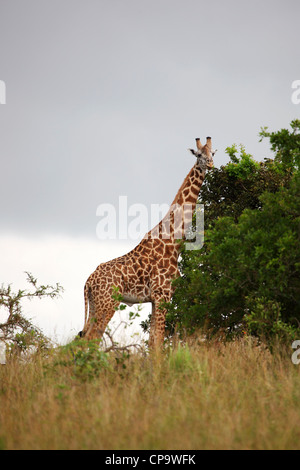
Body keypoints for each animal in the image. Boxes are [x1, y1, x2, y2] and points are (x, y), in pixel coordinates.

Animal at [79, 136, 216, 346]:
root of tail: (88, 282)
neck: (174, 243)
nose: (210, 164)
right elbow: (158, 340)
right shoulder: (163, 294)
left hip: (95, 305)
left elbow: (152, 340)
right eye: (199, 155)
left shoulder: (154, 299)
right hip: (107, 303)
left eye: (213, 153)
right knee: (92, 338)